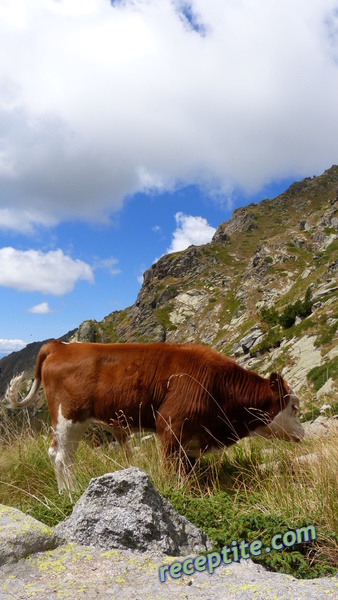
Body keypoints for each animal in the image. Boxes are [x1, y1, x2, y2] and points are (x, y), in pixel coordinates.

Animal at [6, 342, 304, 492]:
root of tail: (61, 345)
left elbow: (186, 471)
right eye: (294, 406)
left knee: (53, 453)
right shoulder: (170, 425)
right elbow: (171, 470)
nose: (302, 433)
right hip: (70, 418)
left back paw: (62, 492)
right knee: (62, 458)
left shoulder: (191, 439)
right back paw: (71, 492)